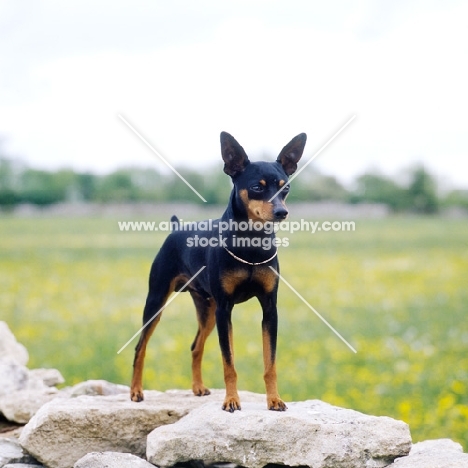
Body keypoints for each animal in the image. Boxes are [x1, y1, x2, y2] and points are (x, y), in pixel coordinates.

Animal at [132, 130, 308, 412]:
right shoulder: (226, 310)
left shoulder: (269, 309)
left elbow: (270, 362)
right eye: (257, 187)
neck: (250, 246)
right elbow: (229, 363)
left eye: (285, 188)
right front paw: (231, 400)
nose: (282, 212)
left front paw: (274, 399)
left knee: (195, 346)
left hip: (208, 310)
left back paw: (198, 387)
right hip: (157, 302)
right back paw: (136, 391)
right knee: (140, 347)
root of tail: (176, 229)